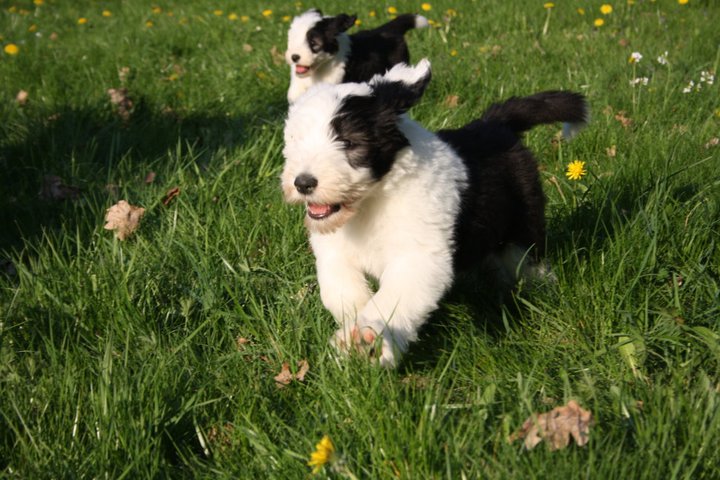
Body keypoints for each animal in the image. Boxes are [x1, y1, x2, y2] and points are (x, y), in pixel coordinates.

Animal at [281, 60, 588, 367]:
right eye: (296, 140)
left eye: (349, 143)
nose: (303, 183)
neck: (371, 201)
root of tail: (493, 123)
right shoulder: (335, 252)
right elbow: (340, 289)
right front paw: (352, 333)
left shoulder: (419, 256)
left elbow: (394, 298)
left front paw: (371, 336)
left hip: (523, 220)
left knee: (527, 259)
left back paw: (542, 290)